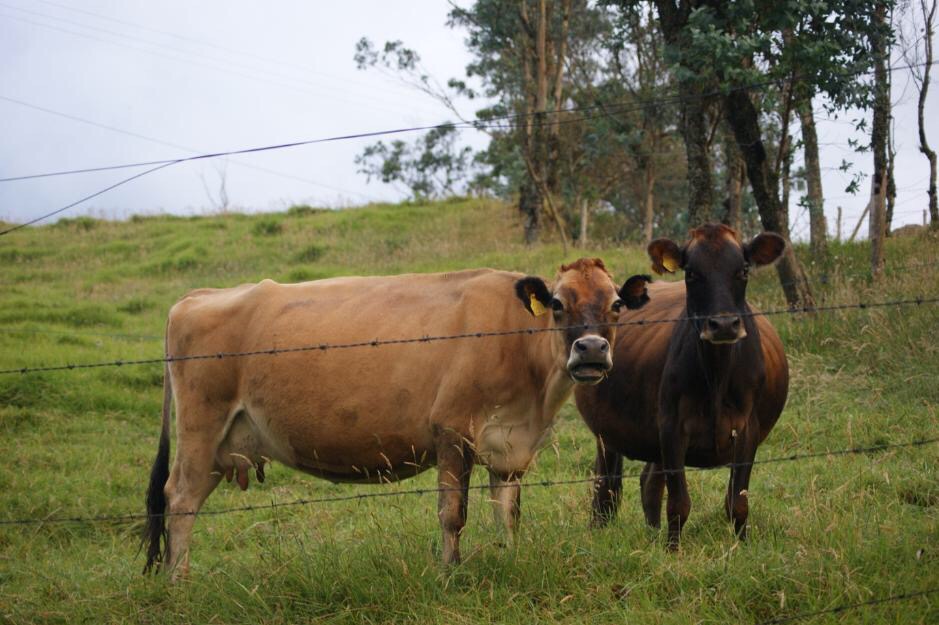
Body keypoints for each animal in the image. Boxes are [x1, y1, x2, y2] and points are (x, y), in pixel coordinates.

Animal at [143, 258, 648, 576]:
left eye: (616, 304)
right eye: (558, 304)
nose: (591, 349)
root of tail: (195, 296)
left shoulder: (509, 447)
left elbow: (507, 514)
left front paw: (509, 558)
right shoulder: (452, 430)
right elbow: (453, 514)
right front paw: (450, 573)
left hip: (222, 444)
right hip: (201, 429)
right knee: (179, 498)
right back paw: (178, 582)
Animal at [576, 224, 788, 544]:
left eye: (743, 270)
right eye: (691, 273)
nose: (723, 325)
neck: (716, 377)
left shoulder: (747, 431)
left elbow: (737, 502)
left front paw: (742, 546)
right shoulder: (671, 427)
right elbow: (679, 503)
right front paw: (672, 550)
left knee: (649, 482)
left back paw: (652, 535)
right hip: (606, 430)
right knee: (606, 486)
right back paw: (602, 531)